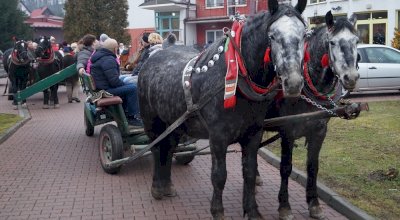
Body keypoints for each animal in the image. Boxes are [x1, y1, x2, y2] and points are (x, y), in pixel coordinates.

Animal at [139, 0, 308, 218]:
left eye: (304, 35)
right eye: (272, 36)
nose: (293, 82)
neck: (238, 82)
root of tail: (154, 57)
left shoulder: (253, 134)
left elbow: (250, 172)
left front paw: (252, 210)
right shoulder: (218, 137)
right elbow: (219, 175)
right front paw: (218, 211)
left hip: (174, 124)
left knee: (168, 149)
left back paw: (167, 186)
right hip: (152, 122)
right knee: (156, 148)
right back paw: (156, 188)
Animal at [266, 10, 360, 220]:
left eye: (356, 41)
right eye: (332, 42)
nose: (351, 77)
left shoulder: (319, 132)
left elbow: (312, 167)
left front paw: (314, 204)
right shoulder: (288, 131)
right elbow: (286, 167)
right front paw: (284, 206)